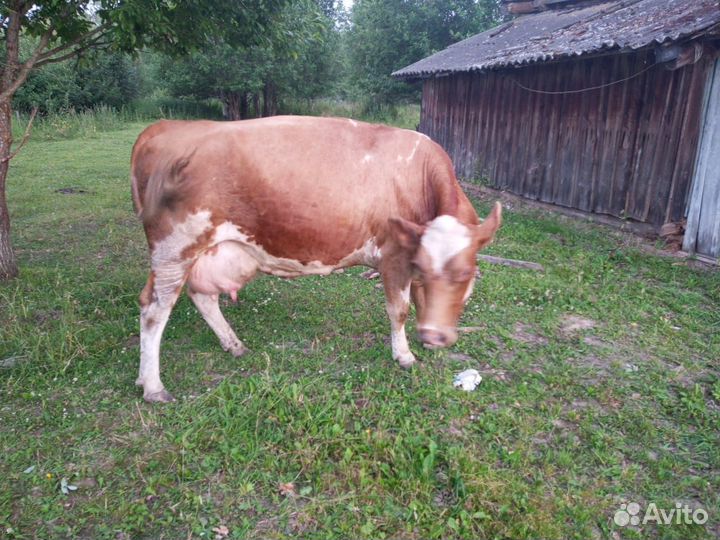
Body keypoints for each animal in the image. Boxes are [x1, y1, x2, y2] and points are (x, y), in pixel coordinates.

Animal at [131, 116, 502, 402]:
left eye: (466, 273)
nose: (436, 337)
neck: (418, 176)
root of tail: (166, 126)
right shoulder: (395, 256)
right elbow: (399, 310)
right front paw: (405, 355)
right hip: (174, 249)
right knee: (154, 311)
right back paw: (153, 386)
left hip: (211, 252)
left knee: (202, 296)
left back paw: (233, 344)